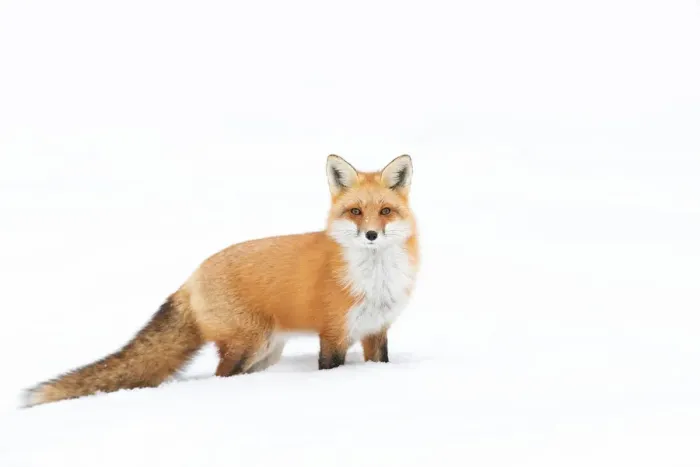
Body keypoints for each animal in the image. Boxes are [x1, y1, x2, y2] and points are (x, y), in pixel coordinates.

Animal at [23, 154, 420, 407]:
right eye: (355, 211)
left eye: (385, 211)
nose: (371, 235)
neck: (375, 278)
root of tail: (191, 277)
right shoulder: (333, 333)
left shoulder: (375, 330)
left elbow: (379, 361)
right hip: (250, 344)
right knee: (220, 376)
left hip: (267, 351)